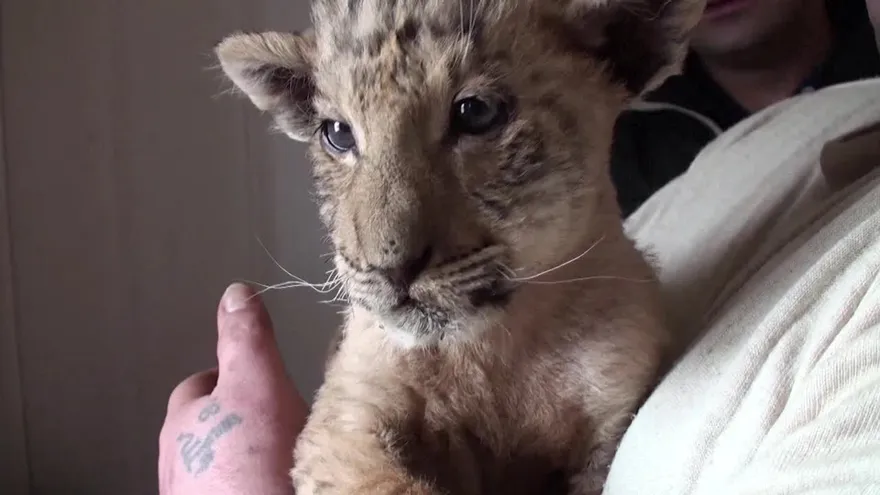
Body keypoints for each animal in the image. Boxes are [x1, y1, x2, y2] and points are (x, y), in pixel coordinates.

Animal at [214, 0, 705, 493]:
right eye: (337, 133)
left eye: (476, 113)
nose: (390, 269)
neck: (503, 347)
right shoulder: (347, 420)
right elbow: (385, 481)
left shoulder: (610, 419)